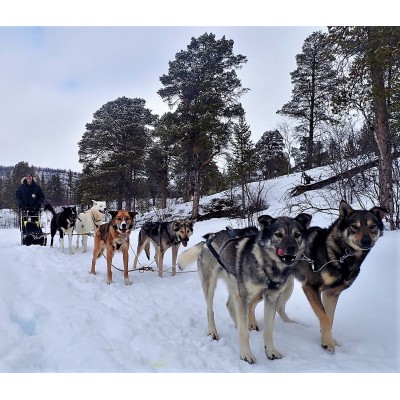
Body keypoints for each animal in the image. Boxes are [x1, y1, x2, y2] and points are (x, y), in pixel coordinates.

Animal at [178, 214, 312, 364]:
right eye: (278, 234)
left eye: (297, 235)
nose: (291, 248)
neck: (266, 265)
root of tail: (207, 241)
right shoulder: (244, 297)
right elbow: (244, 334)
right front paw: (246, 354)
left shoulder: (270, 299)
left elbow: (268, 330)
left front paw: (270, 351)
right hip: (211, 286)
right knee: (210, 310)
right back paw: (213, 332)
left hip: (235, 286)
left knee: (230, 306)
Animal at [274, 200, 386, 354]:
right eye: (354, 226)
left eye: (372, 226)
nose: (366, 241)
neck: (342, 255)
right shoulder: (311, 288)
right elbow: (324, 317)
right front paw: (328, 343)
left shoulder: (331, 294)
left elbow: (329, 318)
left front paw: (327, 339)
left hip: (287, 287)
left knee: (279, 307)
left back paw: (290, 324)